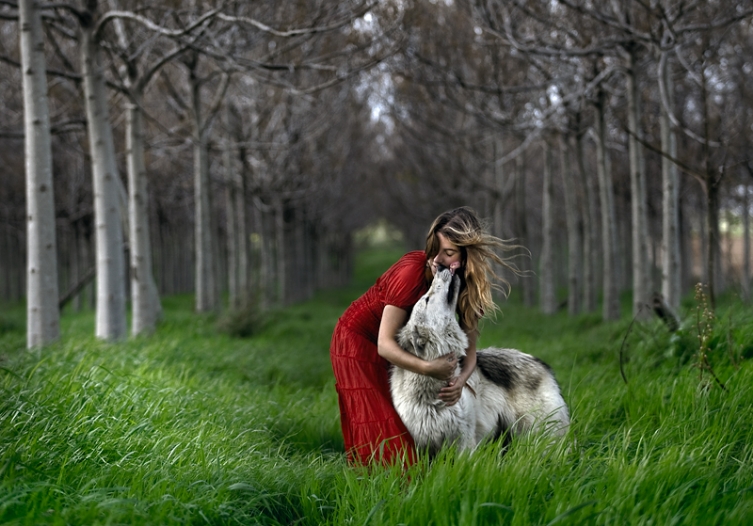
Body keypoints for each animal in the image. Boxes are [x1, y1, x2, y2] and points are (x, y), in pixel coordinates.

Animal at [388, 268, 568, 458]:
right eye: (427, 299)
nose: (441, 268)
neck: (432, 394)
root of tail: (541, 363)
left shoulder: (463, 441)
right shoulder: (422, 446)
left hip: (540, 435)